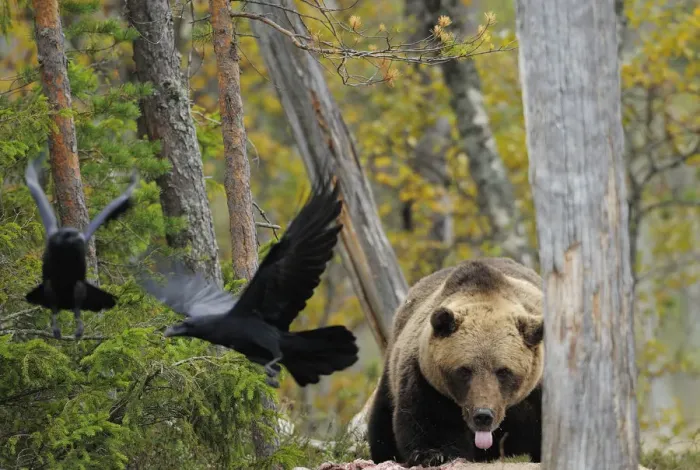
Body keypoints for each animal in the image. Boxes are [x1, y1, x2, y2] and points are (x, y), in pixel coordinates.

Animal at [367, 257, 544, 467]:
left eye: (503, 371)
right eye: (464, 370)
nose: (483, 416)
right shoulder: (427, 379)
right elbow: (428, 419)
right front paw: (433, 454)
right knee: (382, 419)